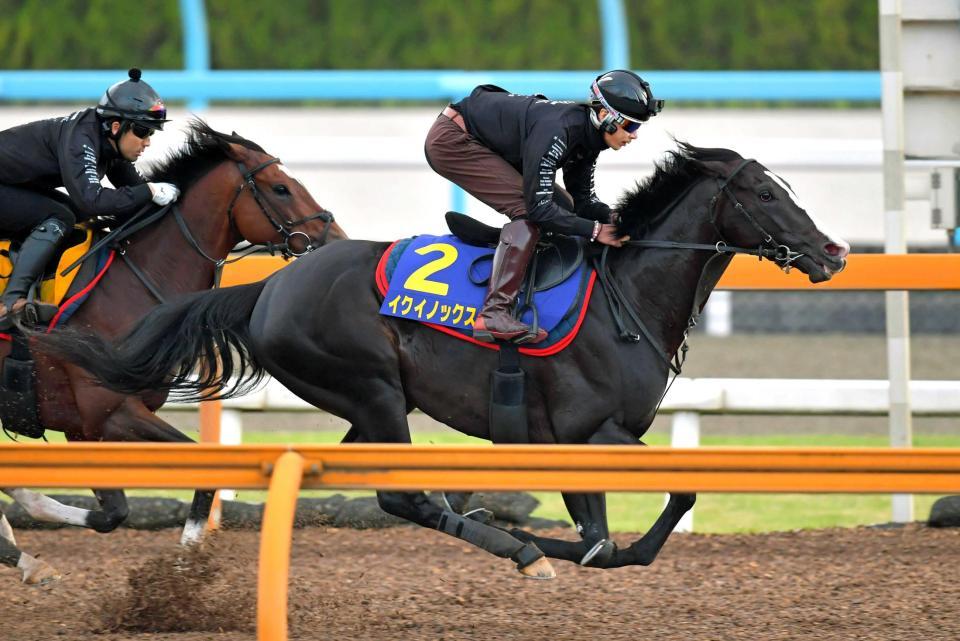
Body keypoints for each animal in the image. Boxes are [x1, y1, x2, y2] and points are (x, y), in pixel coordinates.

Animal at [0, 117, 344, 584]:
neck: (130, 284)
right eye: (281, 188)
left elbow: (201, 478)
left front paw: (185, 567)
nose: (336, 240)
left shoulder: (101, 422)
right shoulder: (102, 417)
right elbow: (113, 514)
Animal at [39, 144, 848, 580]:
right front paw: (534, 535)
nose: (834, 252)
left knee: (395, 495)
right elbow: (655, 504)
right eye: (768, 194)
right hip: (373, 390)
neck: (627, 296)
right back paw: (516, 548)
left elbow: (612, 532)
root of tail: (270, 284)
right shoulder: (588, 431)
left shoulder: (574, 440)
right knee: (405, 499)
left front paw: (565, 540)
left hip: (372, 405)